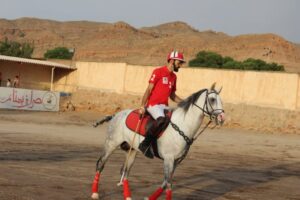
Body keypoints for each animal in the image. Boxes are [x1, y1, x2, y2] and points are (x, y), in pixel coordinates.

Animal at [91, 83, 225, 200]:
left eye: (221, 100)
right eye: (212, 99)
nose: (222, 118)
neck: (183, 125)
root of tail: (115, 115)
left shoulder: (176, 161)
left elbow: (165, 183)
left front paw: (149, 198)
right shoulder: (168, 159)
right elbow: (169, 184)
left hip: (132, 150)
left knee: (125, 172)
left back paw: (128, 196)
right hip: (111, 144)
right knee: (100, 164)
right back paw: (95, 193)